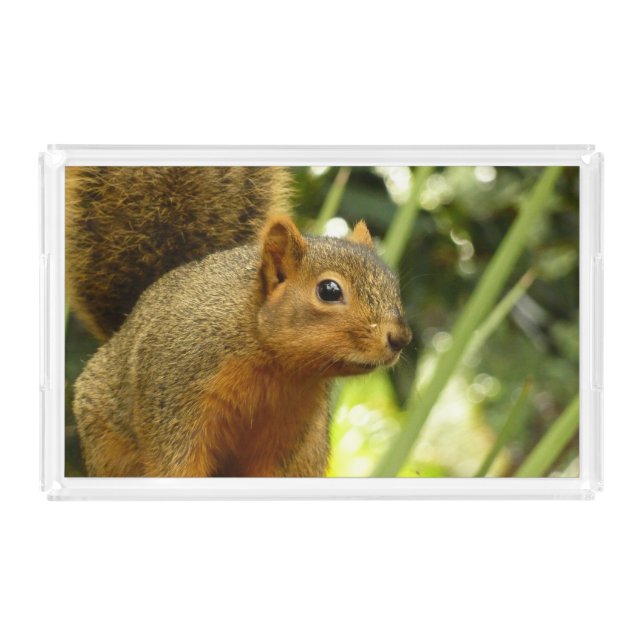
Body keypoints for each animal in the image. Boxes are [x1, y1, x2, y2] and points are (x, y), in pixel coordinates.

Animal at [67, 166, 412, 477]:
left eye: (393, 284)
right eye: (329, 290)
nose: (400, 338)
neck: (276, 368)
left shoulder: (289, 433)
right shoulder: (176, 399)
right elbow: (177, 465)